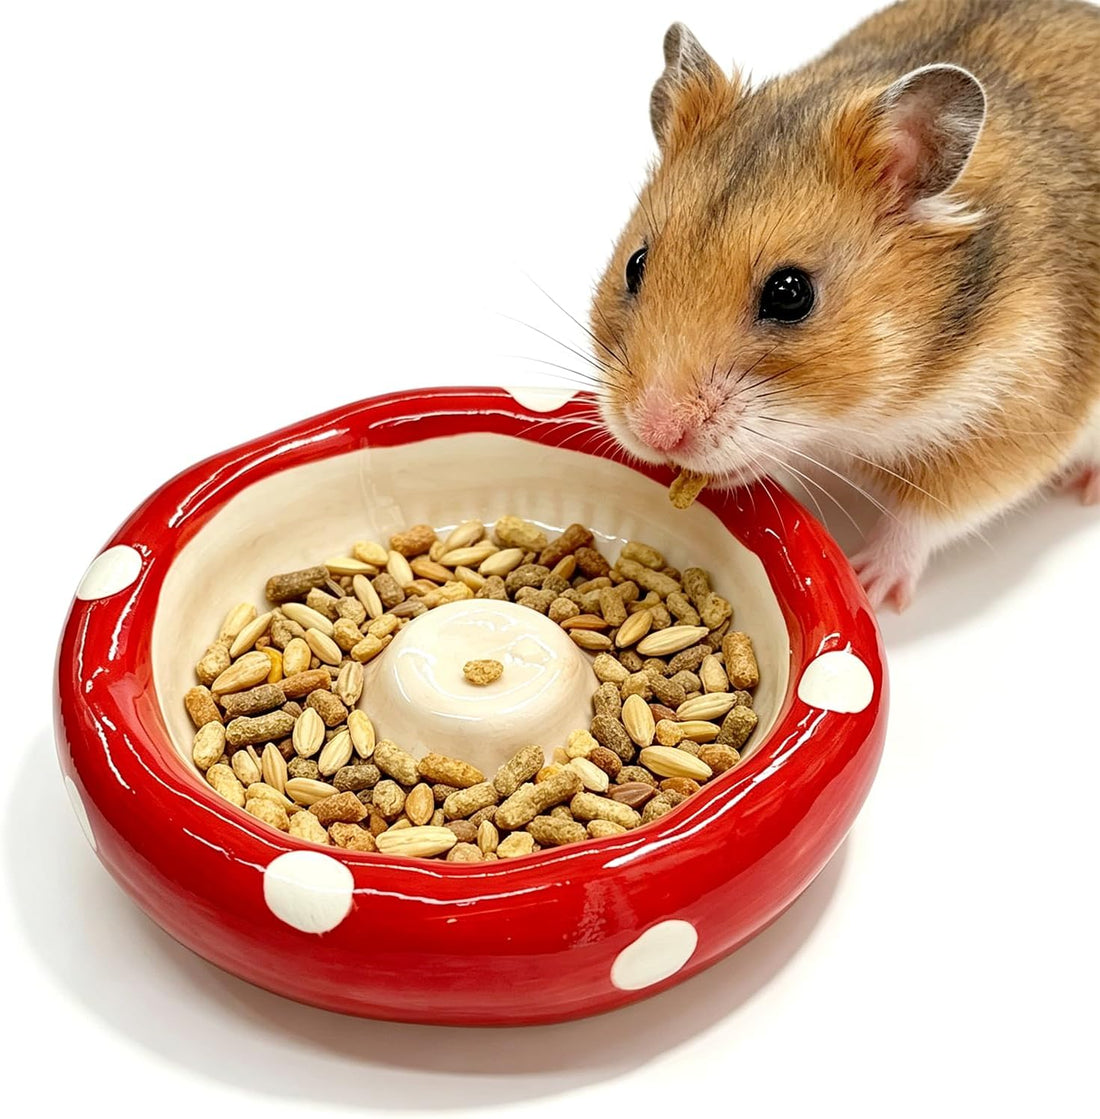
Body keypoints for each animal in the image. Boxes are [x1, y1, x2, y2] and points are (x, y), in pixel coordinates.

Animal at [589, 0, 1100, 610]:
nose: (654, 436)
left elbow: (924, 516)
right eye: (635, 265)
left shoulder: (1016, 413)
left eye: (791, 294)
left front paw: (867, 584)